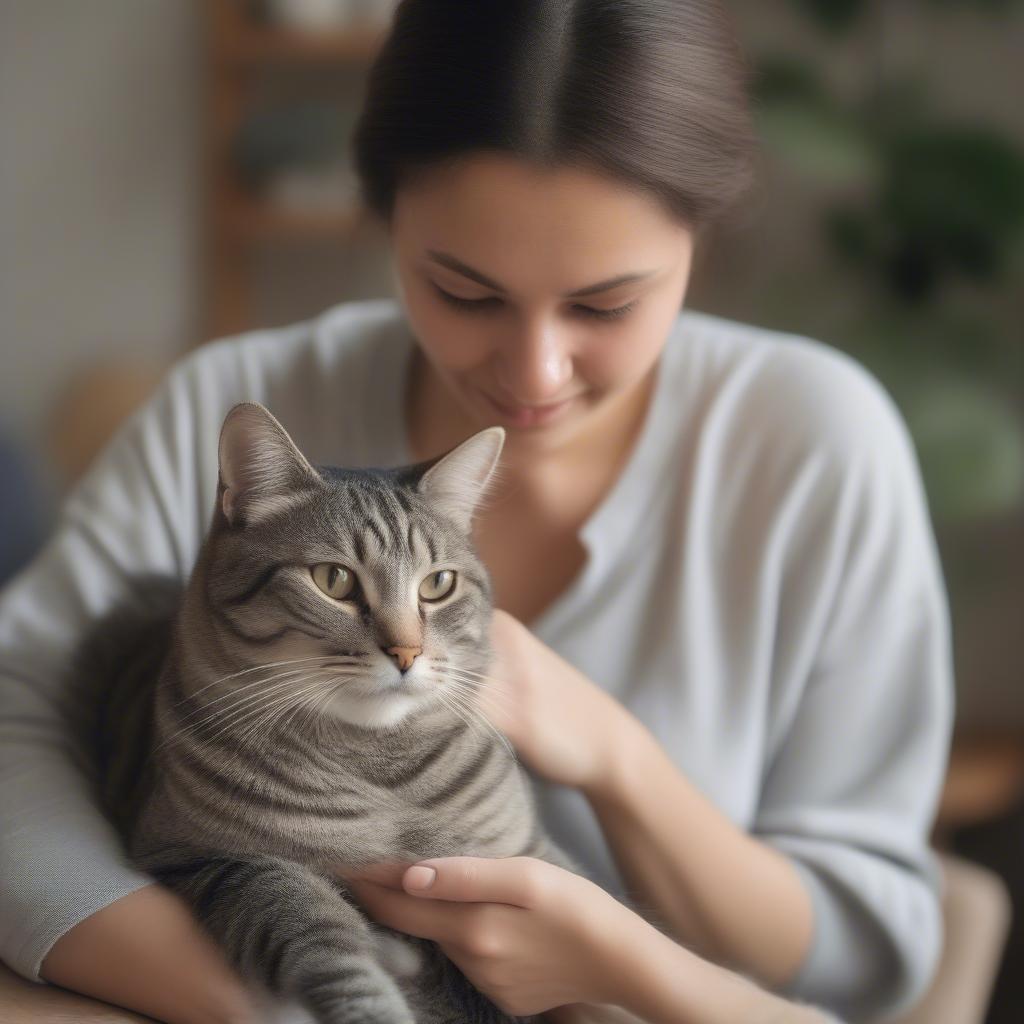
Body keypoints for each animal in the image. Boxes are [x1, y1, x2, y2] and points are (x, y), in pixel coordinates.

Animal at [66, 399, 577, 1024]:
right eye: (333, 579)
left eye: (438, 584)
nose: (406, 652)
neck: (382, 769)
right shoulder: (208, 859)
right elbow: (322, 938)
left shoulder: (529, 856)